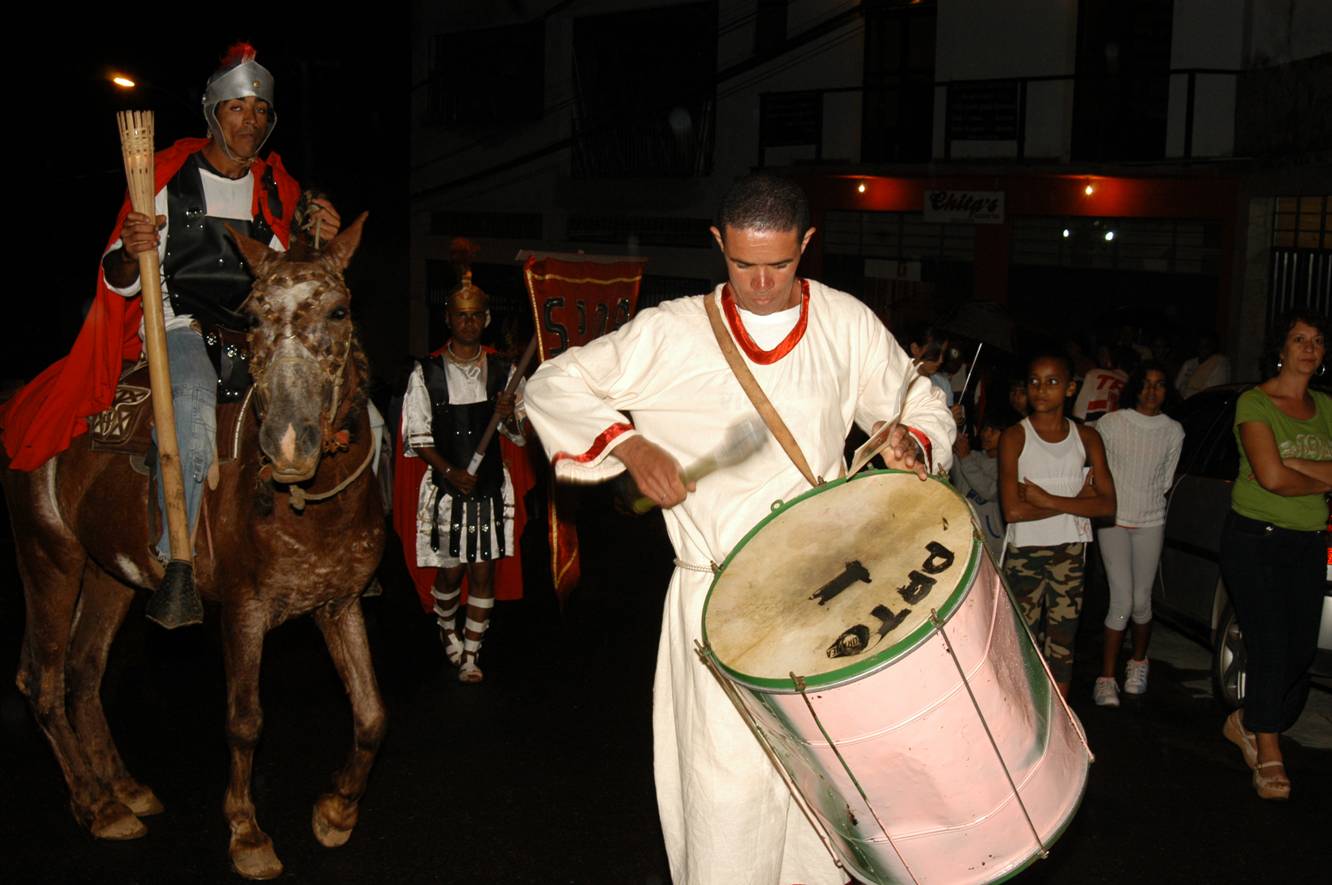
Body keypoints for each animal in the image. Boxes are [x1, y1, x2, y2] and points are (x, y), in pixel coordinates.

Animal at [2, 215, 386, 879]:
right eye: (254, 318)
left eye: (339, 311)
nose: (288, 443)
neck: (312, 505)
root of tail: (29, 402)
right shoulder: (244, 611)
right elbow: (244, 722)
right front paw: (247, 833)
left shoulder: (338, 605)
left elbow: (369, 714)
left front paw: (337, 812)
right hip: (49, 557)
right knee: (43, 680)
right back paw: (96, 805)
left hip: (110, 574)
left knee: (83, 669)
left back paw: (123, 789)